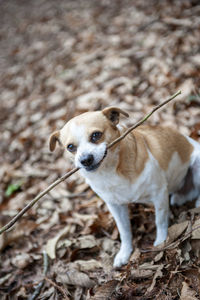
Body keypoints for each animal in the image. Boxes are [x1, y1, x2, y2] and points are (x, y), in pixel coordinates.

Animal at [49, 107, 200, 268]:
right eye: (70, 147)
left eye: (96, 135)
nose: (85, 160)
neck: (109, 171)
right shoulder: (115, 206)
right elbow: (124, 231)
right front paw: (125, 253)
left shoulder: (159, 194)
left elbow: (160, 221)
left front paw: (160, 242)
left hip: (197, 165)